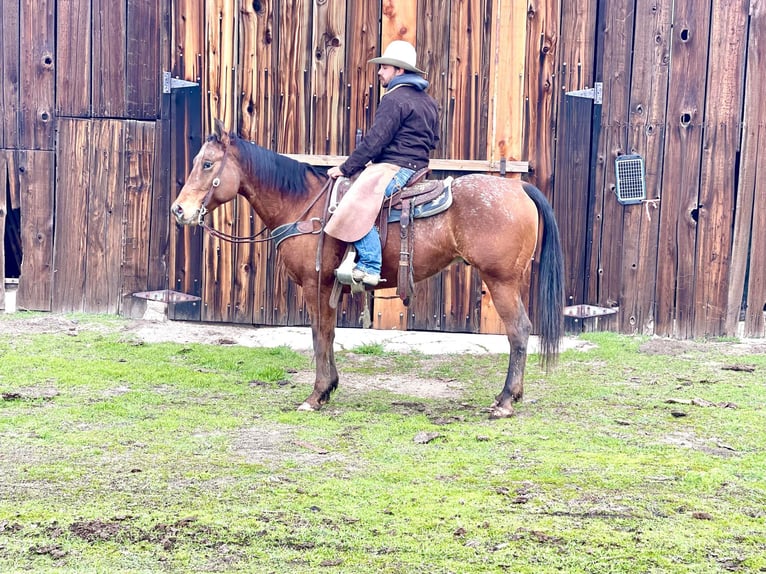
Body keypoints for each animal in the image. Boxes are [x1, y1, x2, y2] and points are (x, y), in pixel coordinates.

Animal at [176, 120, 568, 418]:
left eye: (208, 164)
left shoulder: (315, 285)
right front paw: (329, 389)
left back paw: (505, 402)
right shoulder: (327, 288)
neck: (303, 206)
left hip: (501, 282)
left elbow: (320, 335)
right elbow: (329, 334)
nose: (179, 210)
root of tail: (520, 190)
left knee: (519, 332)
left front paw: (316, 395)